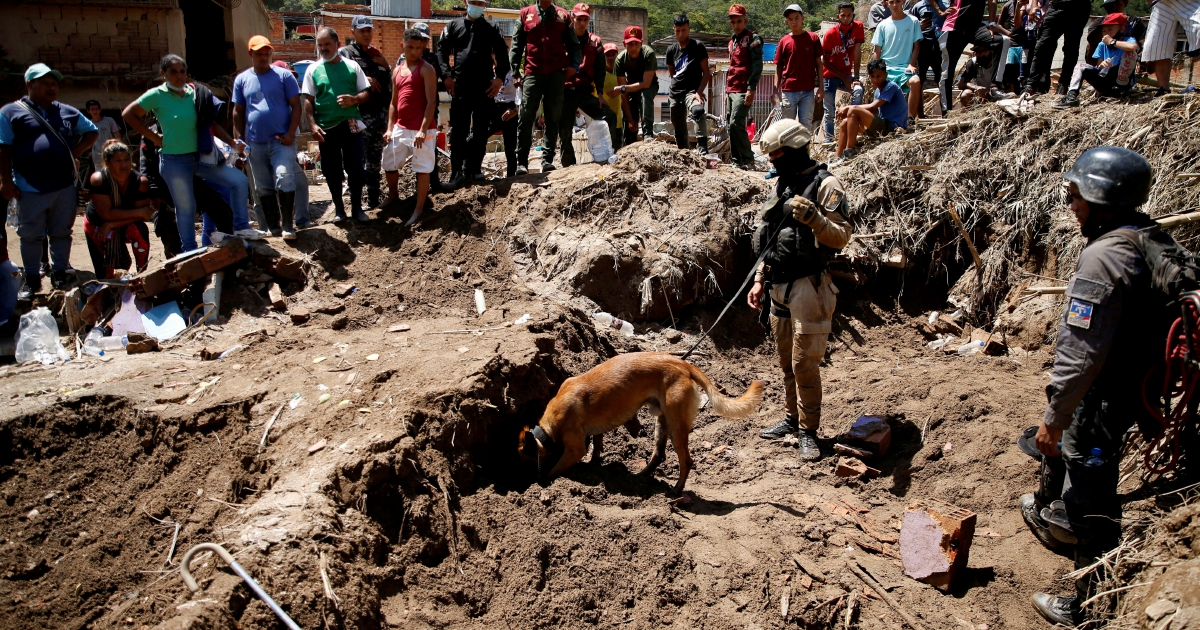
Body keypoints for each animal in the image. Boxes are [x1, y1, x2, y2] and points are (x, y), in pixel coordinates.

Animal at [518, 350, 763, 494]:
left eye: (527, 460)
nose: (526, 480)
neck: (548, 427)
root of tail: (682, 364)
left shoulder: (574, 449)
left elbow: (555, 469)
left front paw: (545, 482)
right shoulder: (594, 432)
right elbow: (597, 446)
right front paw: (593, 464)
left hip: (676, 425)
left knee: (686, 460)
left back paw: (676, 491)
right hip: (662, 422)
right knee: (659, 455)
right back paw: (640, 477)